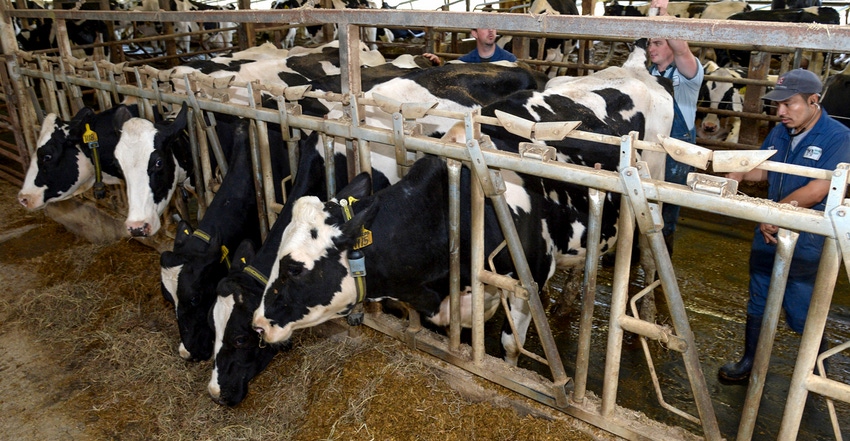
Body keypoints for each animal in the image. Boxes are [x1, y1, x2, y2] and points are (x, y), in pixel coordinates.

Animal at [248, 40, 672, 364]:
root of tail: (634, 67)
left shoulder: (526, 279)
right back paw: (569, 301)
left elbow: (509, 346)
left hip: (651, 196)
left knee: (652, 257)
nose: (259, 324)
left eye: (294, 270)